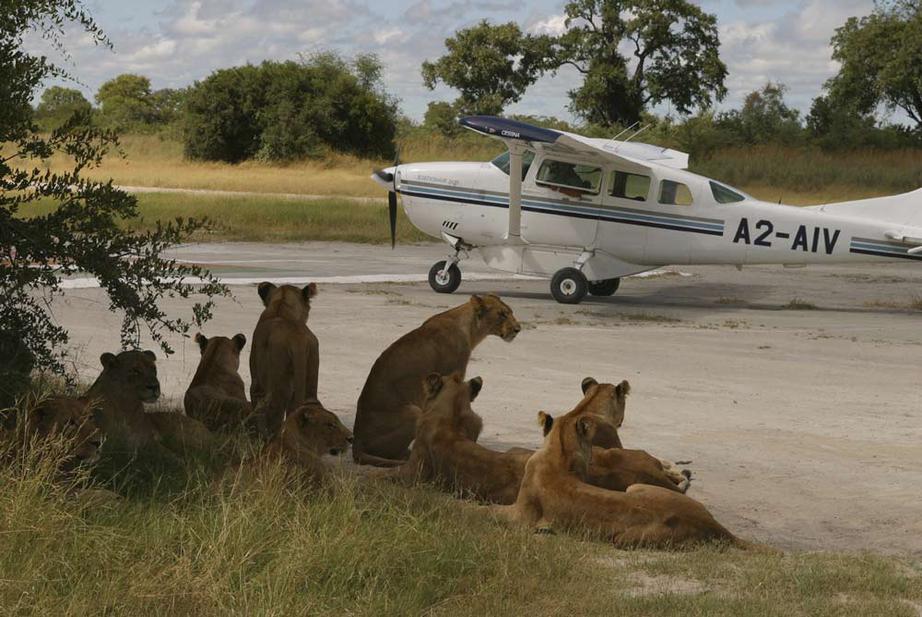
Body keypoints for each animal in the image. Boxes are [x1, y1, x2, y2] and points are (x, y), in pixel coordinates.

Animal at [252, 282, 320, 436]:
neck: (282, 307)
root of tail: (297, 340)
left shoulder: (256, 383)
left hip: (278, 386)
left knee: (275, 417)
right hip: (310, 381)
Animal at [352, 296, 520, 464]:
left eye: (510, 312)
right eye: (502, 314)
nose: (518, 329)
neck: (470, 328)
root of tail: (356, 444)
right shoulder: (452, 376)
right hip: (413, 411)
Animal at [496, 404, 748, 548]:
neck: (560, 453)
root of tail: (712, 524)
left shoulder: (521, 514)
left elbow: (489, 511)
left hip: (623, 538)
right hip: (636, 487)